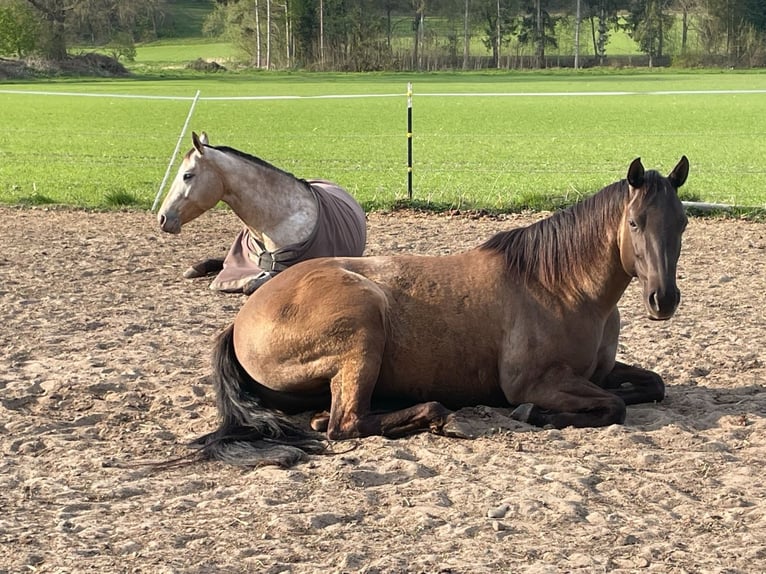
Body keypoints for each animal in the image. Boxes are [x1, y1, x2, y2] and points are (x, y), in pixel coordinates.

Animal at [192, 156, 688, 468]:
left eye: (682, 222)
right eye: (634, 223)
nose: (663, 299)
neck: (560, 286)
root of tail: (240, 321)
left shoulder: (599, 372)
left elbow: (652, 386)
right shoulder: (534, 382)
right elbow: (613, 406)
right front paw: (537, 415)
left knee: (330, 419)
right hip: (363, 326)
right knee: (346, 424)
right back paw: (440, 417)